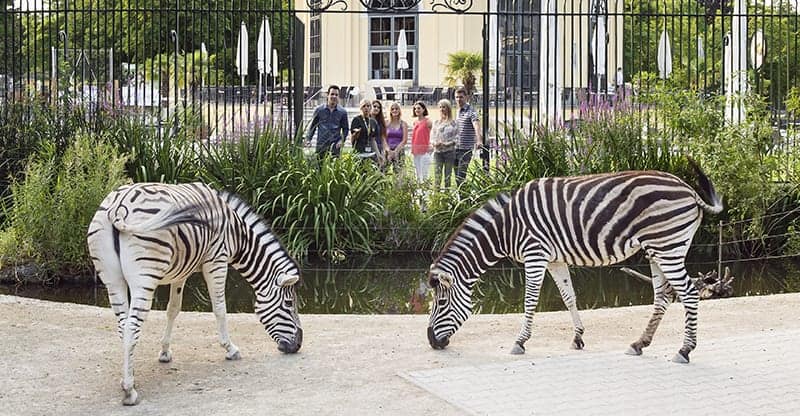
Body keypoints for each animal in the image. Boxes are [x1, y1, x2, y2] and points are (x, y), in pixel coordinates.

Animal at [86, 181, 302, 404]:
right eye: (288, 304)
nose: (297, 345)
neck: (236, 232)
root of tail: (118, 207)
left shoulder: (181, 270)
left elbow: (173, 310)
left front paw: (165, 352)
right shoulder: (217, 261)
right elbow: (220, 308)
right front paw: (230, 349)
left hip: (112, 279)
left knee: (123, 326)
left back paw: (129, 376)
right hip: (144, 277)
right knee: (131, 327)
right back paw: (129, 390)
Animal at [428, 160, 720, 364]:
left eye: (440, 303)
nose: (431, 341)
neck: (506, 228)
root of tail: (690, 191)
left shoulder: (535, 254)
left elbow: (530, 300)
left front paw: (520, 342)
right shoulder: (554, 259)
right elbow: (569, 296)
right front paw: (578, 337)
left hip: (667, 247)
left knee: (689, 293)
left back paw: (684, 349)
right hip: (659, 249)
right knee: (663, 296)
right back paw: (639, 344)